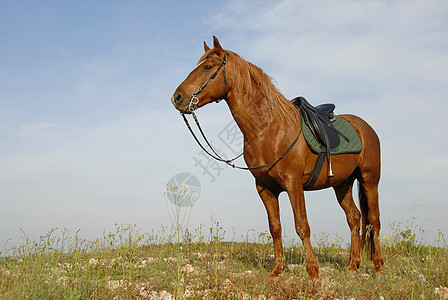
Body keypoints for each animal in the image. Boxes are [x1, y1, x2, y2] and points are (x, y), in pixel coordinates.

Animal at [170, 36, 384, 278]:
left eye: (207, 67)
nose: (177, 97)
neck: (268, 129)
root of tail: (364, 127)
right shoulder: (265, 188)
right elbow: (275, 227)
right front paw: (277, 270)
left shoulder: (293, 184)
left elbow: (302, 226)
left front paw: (313, 270)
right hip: (342, 183)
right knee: (354, 218)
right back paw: (352, 266)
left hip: (370, 180)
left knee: (374, 220)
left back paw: (378, 266)